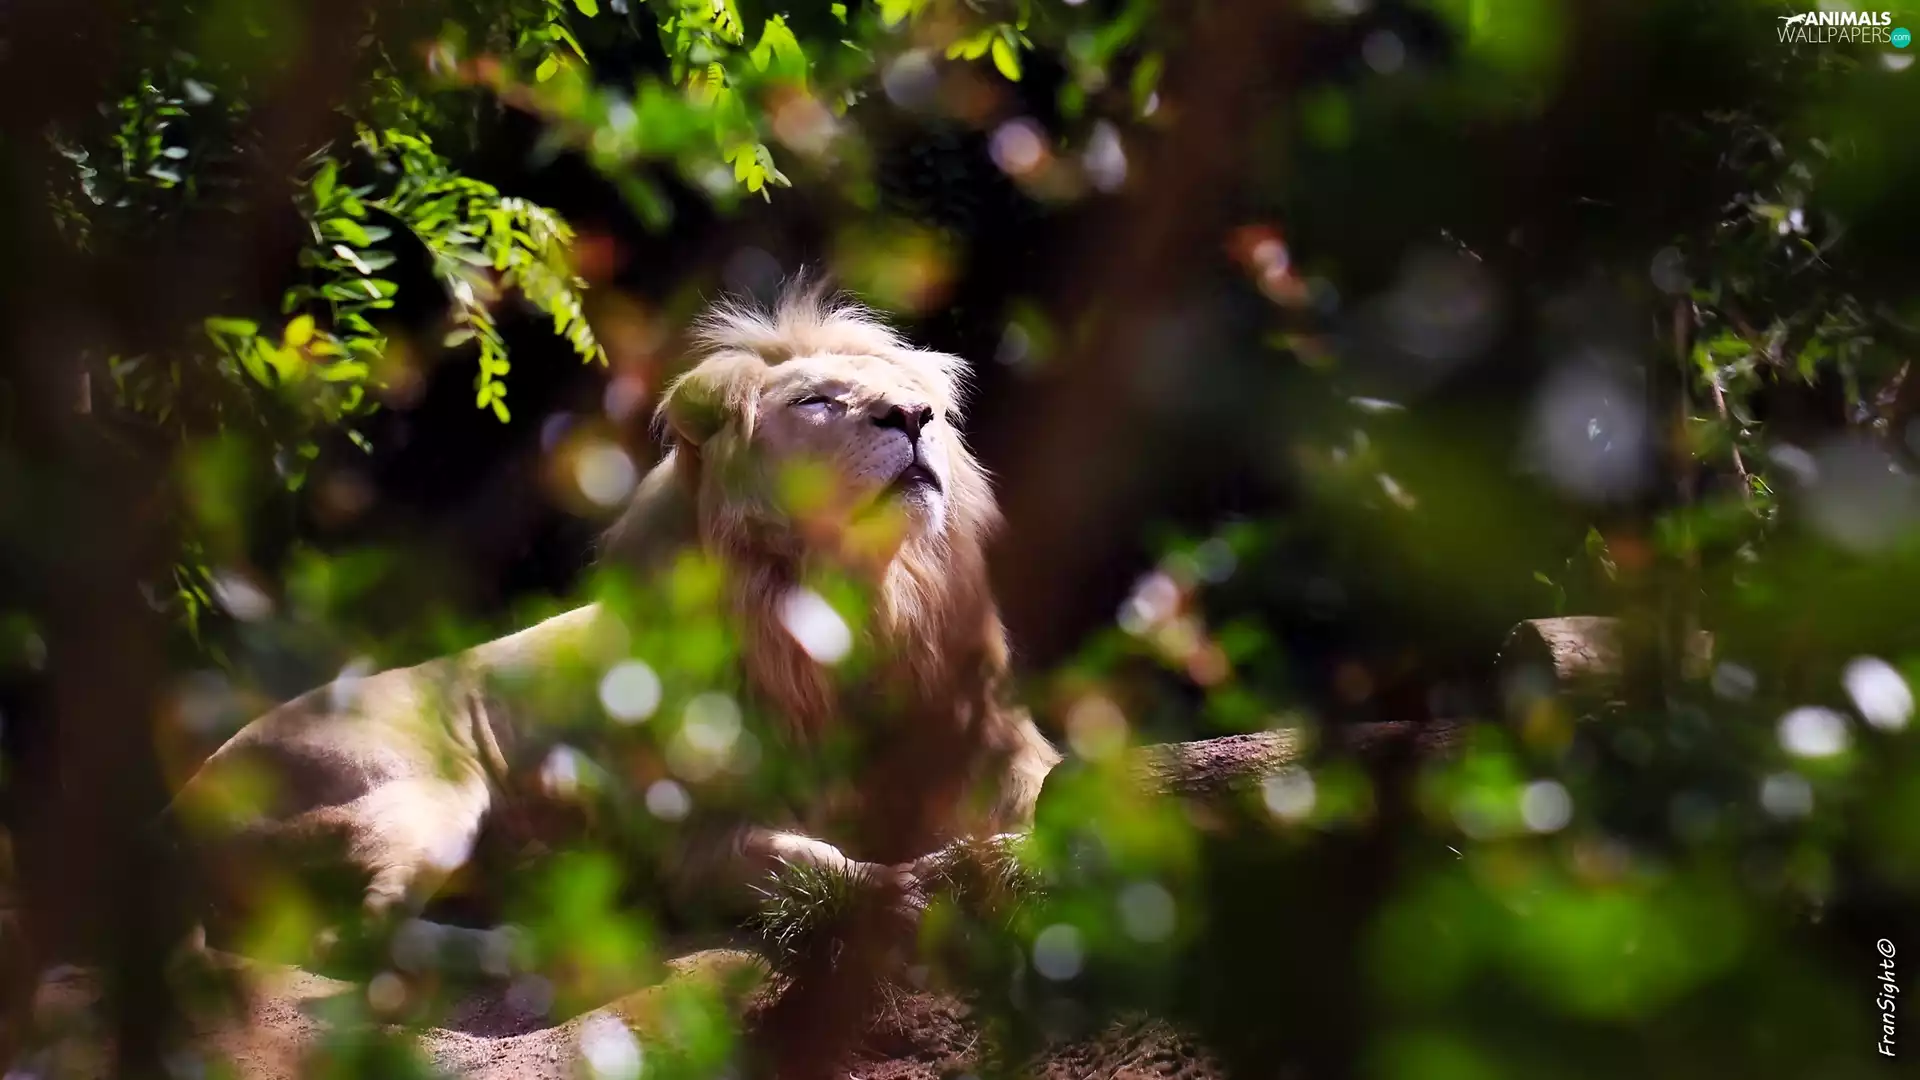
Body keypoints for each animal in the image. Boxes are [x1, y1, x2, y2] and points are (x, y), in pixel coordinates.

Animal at [166, 282, 1062, 973]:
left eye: (930, 408)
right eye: (817, 401)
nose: (913, 416)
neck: (859, 599)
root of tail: (179, 814)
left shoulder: (990, 738)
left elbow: (1041, 787)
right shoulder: (691, 838)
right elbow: (815, 864)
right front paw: (921, 884)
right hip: (427, 791)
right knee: (345, 940)